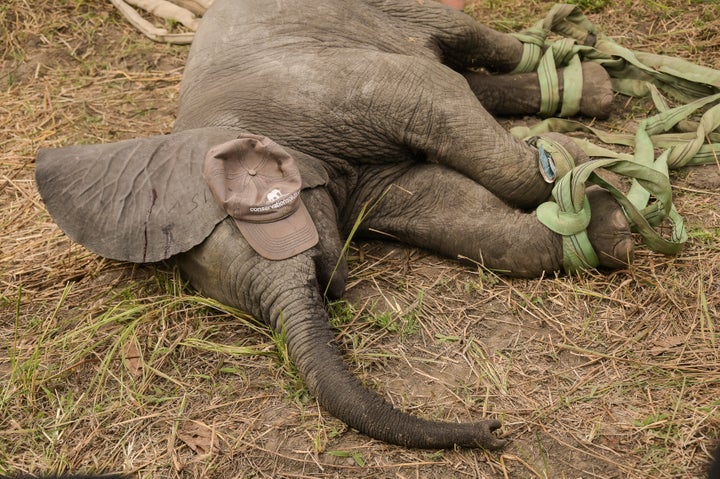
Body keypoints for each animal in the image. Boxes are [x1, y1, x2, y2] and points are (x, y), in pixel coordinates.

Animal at [35, 0, 632, 452]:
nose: (492, 427)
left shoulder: (324, 87)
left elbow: (439, 97)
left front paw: (573, 161)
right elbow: (446, 207)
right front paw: (608, 226)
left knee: (466, 43)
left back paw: (573, 71)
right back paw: (591, 88)